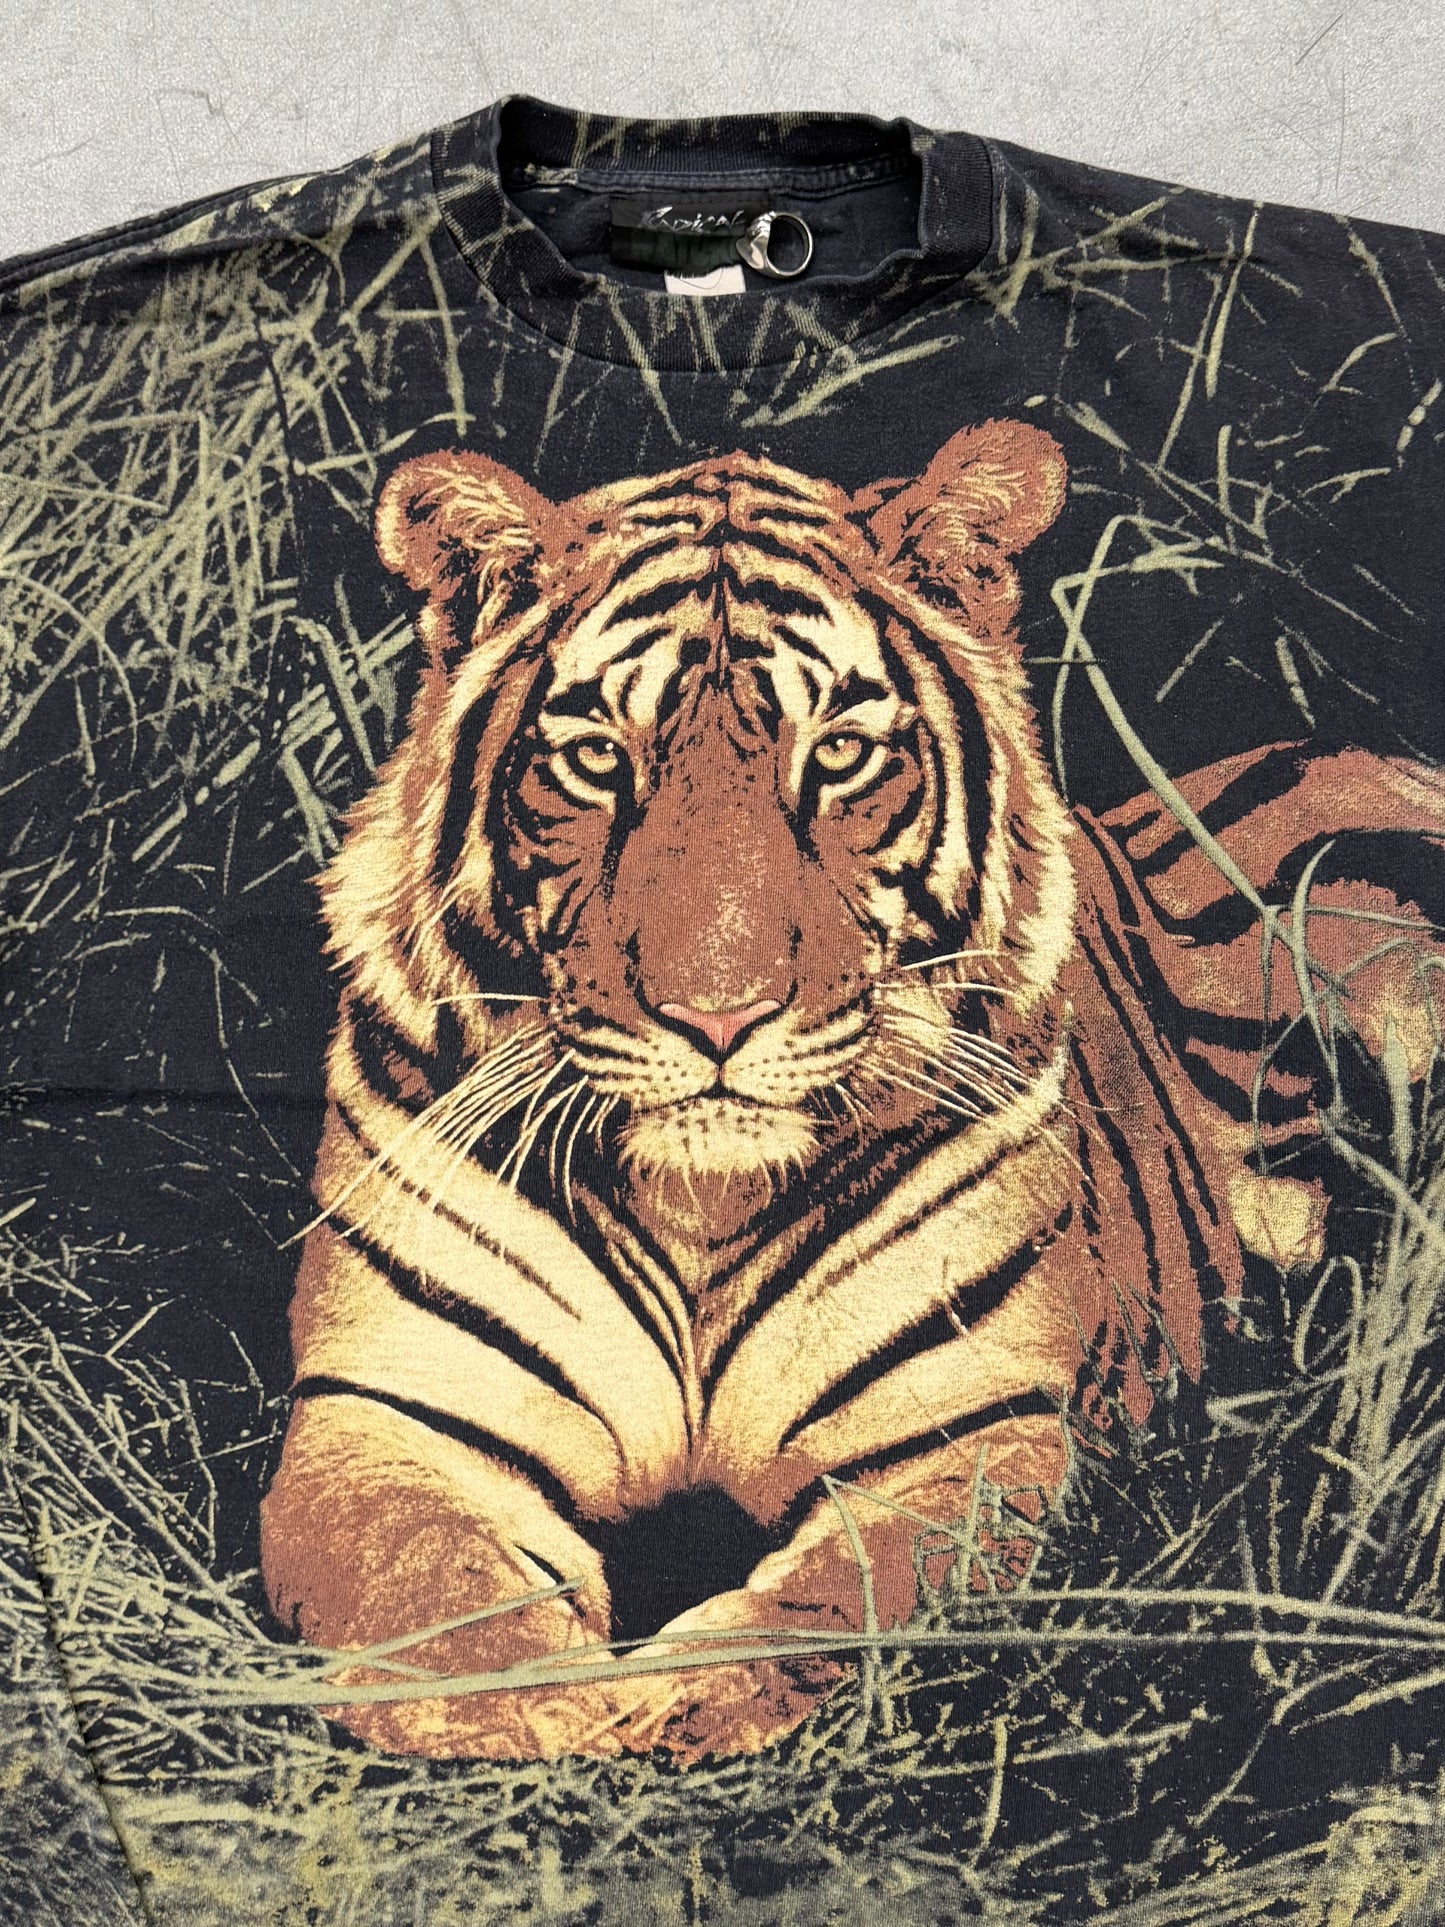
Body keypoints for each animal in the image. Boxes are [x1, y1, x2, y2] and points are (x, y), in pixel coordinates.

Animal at [258, 417, 1445, 1764]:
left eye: (835, 754)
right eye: (597, 759)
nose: (716, 1014)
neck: (697, 1208)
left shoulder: (961, 1431)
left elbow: (845, 1594)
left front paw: (678, 1698)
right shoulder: (394, 1414)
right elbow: (423, 1584)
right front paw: (545, 1704)